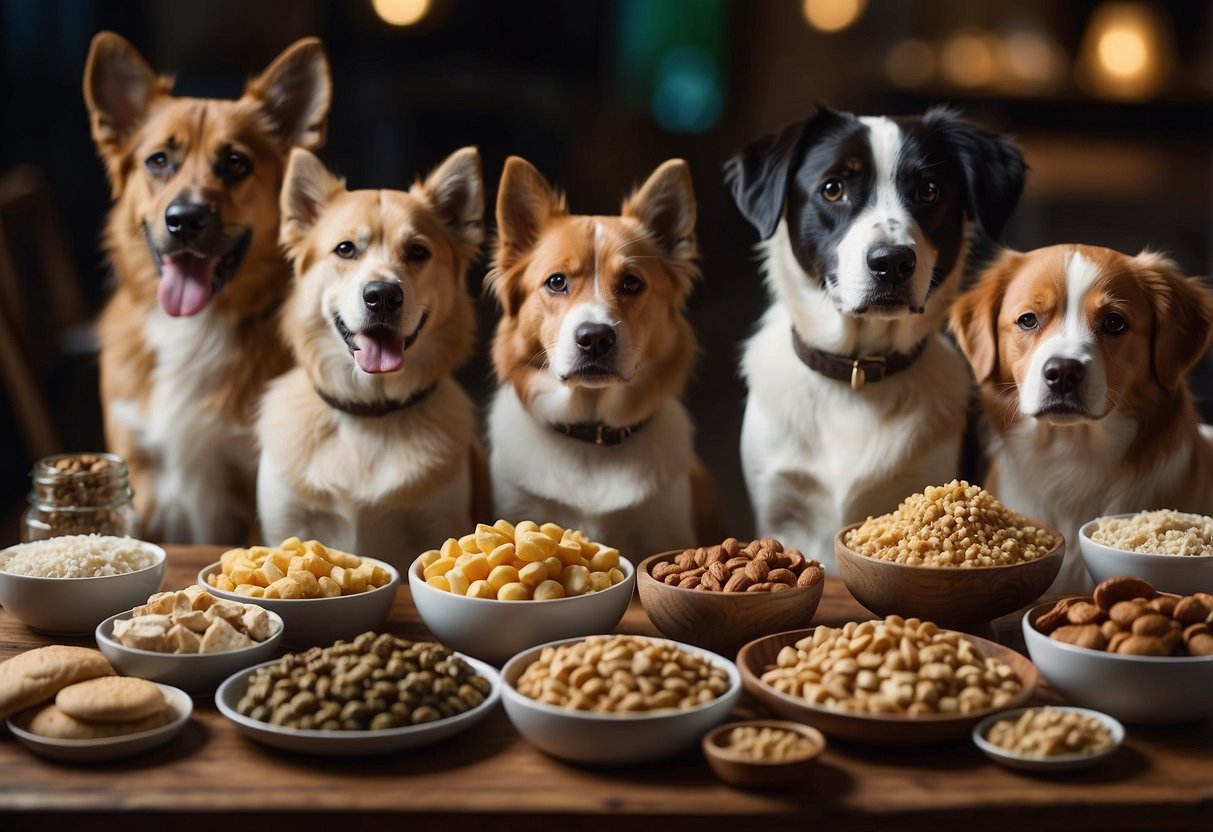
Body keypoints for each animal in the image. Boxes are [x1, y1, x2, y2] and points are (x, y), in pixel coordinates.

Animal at [258, 146, 490, 570]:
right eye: (345, 249)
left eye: (418, 251)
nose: (382, 295)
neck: (369, 413)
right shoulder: (286, 523)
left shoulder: (436, 524)